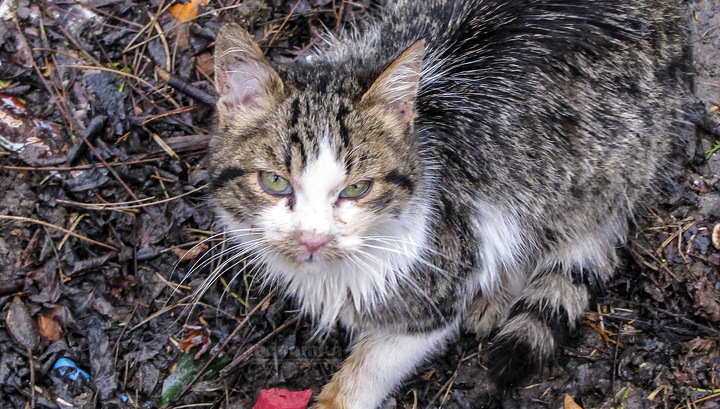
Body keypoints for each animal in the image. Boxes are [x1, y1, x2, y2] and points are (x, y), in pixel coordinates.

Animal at [205, 0, 688, 404]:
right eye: (274, 182)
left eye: (357, 189)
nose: (312, 239)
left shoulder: (436, 291)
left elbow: (366, 374)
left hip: (593, 168)